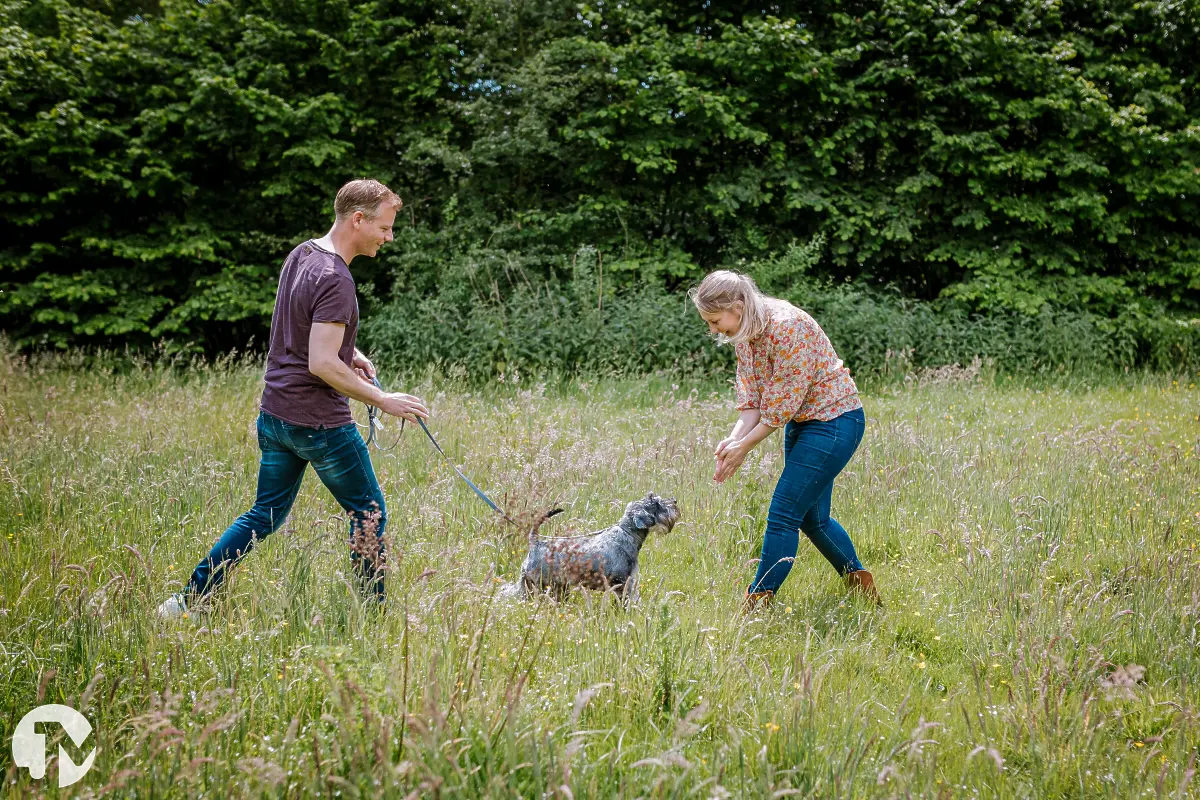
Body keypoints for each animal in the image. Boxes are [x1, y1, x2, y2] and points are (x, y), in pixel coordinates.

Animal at [496, 491, 681, 604]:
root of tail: (535, 542)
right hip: (540, 585)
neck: (627, 533)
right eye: (656, 503)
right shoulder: (623, 584)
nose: (674, 501)